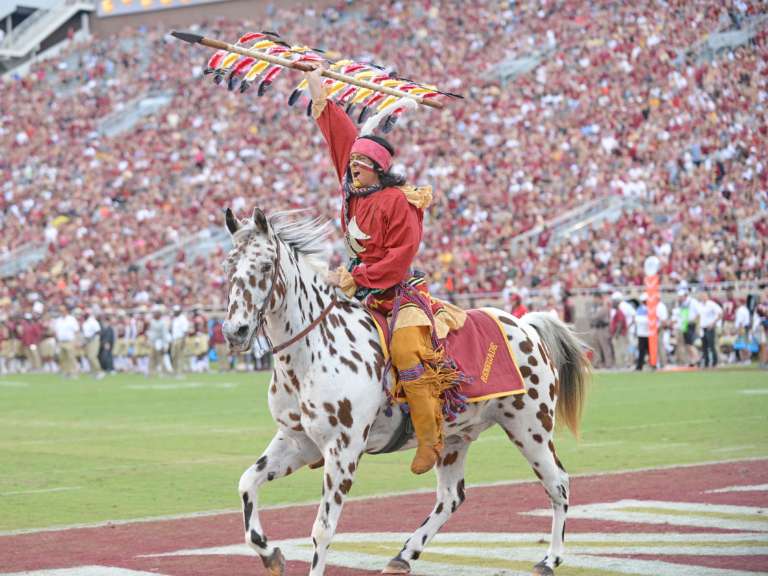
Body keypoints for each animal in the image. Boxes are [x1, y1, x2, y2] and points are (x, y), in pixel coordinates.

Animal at [222, 208, 590, 576]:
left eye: (265, 266)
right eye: (229, 265)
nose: (234, 331)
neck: (314, 350)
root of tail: (526, 325)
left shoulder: (343, 450)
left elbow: (323, 529)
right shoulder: (299, 441)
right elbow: (246, 484)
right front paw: (271, 554)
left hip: (530, 430)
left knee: (559, 484)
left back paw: (549, 560)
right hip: (455, 438)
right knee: (451, 497)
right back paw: (403, 555)